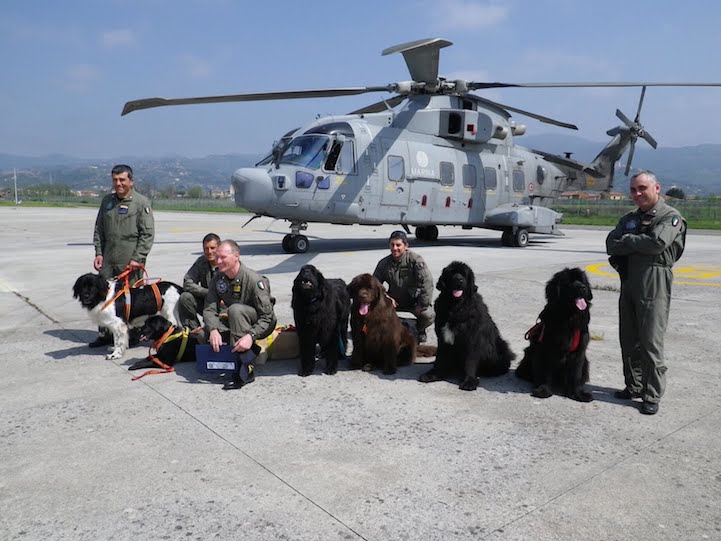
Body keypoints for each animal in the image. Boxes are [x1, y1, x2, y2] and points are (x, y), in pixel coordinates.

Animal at [416, 260, 512, 388]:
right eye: (452, 273)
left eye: (464, 274)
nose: (459, 280)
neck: (455, 306)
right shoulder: (442, 338)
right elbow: (440, 358)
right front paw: (434, 374)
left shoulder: (472, 339)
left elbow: (470, 361)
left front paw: (469, 380)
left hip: (501, 346)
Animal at [516, 266, 592, 400]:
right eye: (569, 282)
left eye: (582, 281)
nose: (582, 287)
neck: (569, 317)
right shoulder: (546, 349)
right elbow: (545, 372)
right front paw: (543, 390)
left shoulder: (580, 351)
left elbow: (576, 374)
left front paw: (578, 394)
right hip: (529, 353)